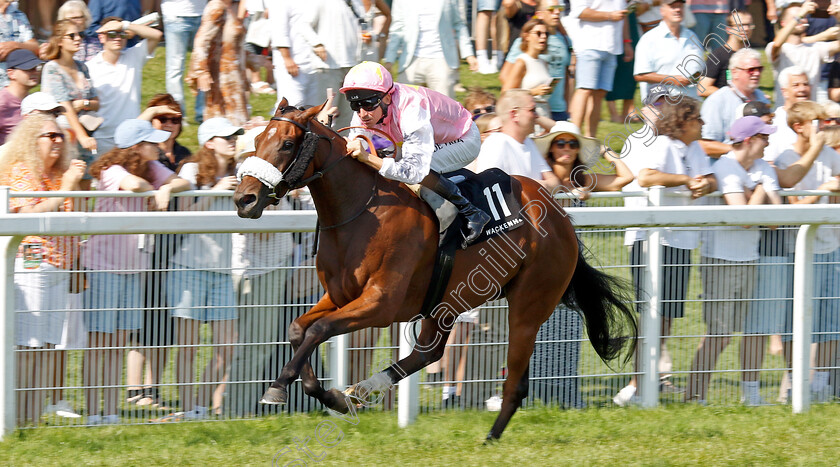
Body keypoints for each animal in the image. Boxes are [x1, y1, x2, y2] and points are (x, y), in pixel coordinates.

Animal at [233, 100, 632, 440]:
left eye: (287, 144)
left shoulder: (380, 304)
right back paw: (361, 390)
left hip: (528, 304)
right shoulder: (340, 295)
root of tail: (560, 213)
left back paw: (490, 437)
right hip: (447, 302)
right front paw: (324, 393)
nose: (244, 199)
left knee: (514, 382)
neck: (362, 211)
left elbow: (319, 330)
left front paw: (280, 388)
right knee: (430, 353)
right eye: (257, 139)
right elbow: (299, 329)